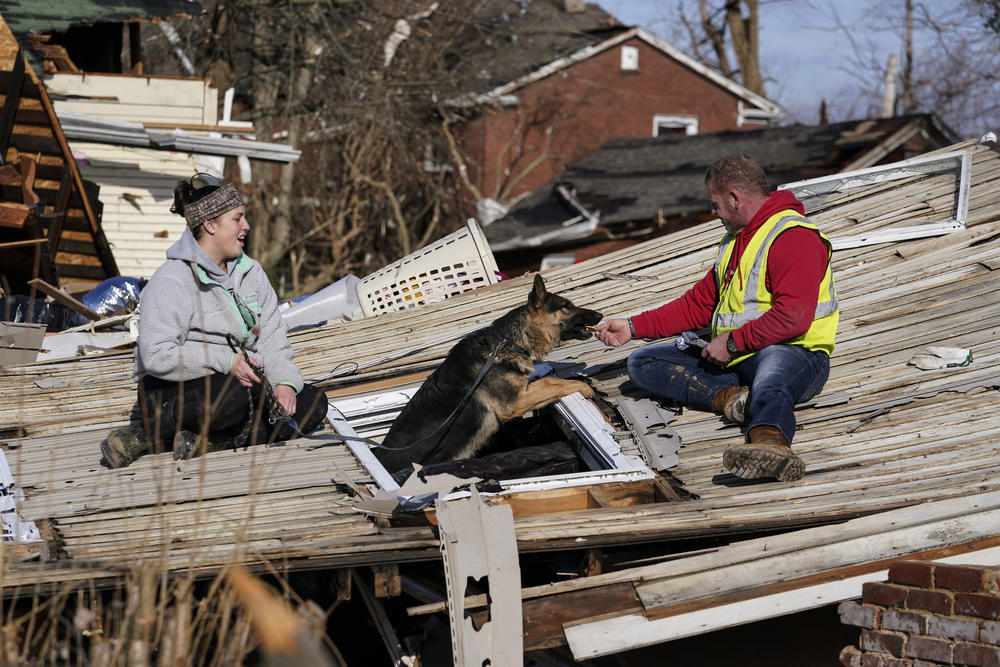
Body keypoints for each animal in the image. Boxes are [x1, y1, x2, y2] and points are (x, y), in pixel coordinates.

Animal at [376, 276, 600, 474]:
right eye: (568, 306)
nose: (599, 316)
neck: (509, 342)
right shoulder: (514, 403)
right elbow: (552, 383)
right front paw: (583, 387)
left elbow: (548, 381)